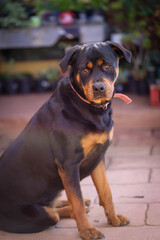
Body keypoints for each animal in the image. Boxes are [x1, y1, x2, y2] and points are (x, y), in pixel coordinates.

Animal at [0, 41, 131, 238]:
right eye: (85, 70)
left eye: (107, 66)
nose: (99, 88)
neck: (90, 108)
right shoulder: (69, 163)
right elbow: (76, 200)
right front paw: (86, 230)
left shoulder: (98, 156)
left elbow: (106, 192)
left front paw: (113, 218)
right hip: (35, 214)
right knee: (54, 213)